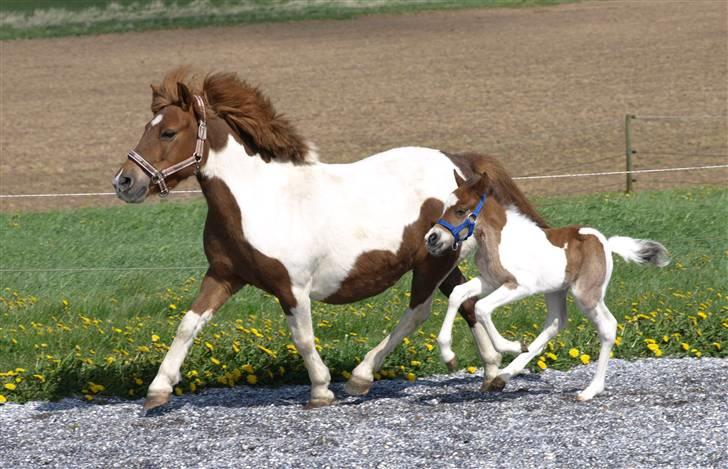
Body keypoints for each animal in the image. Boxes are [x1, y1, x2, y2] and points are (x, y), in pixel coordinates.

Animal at [114, 67, 544, 408]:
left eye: (169, 132)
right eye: (147, 128)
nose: (124, 182)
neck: (256, 201)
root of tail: (460, 166)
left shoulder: (291, 287)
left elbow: (302, 337)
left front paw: (321, 390)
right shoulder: (223, 274)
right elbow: (188, 324)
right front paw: (157, 391)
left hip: (431, 262)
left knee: (417, 312)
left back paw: (361, 377)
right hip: (440, 256)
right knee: (465, 301)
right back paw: (491, 374)